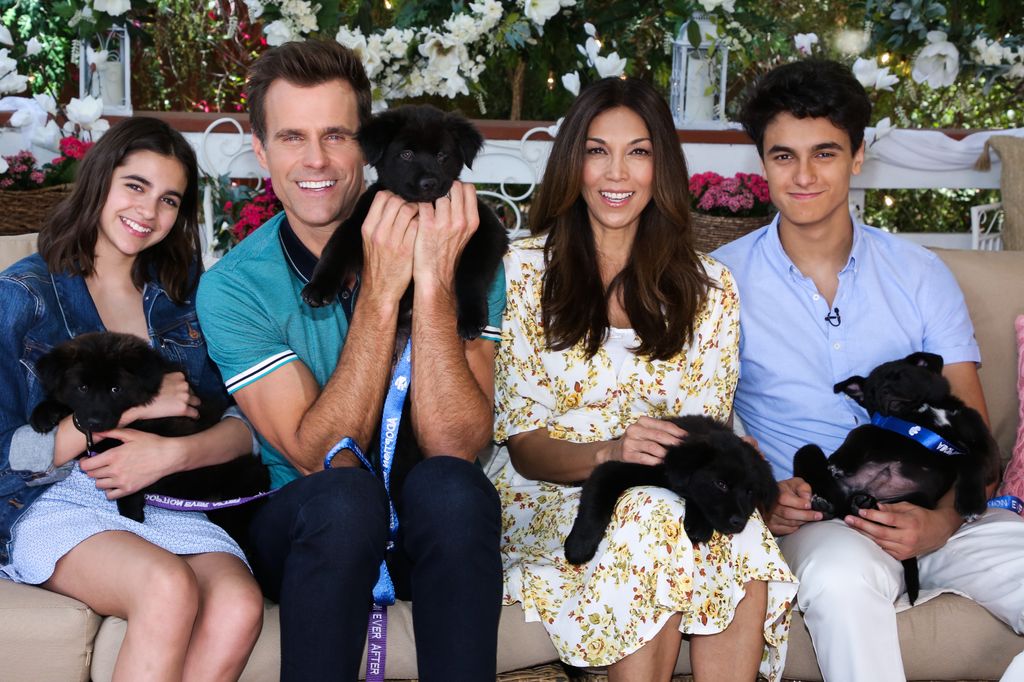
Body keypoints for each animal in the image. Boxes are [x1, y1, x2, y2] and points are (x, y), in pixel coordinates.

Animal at [30, 329, 272, 524]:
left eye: (116, 389)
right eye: (82, 388)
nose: (94, 422)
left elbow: (128, 479)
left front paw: (131, 514)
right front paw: (44, 412)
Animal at [303, 104, 512, 342]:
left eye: (442, 155)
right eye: (406, 154)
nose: (429, 183)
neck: (419, 208)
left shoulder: (490, 231)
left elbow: (471, 272)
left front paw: (471, 317)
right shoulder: (358, 223)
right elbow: (335, 249)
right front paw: (318, 286)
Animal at [561, 413, 774, 561]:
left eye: (750, 492)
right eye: (720, 484)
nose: (739, 522)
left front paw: (699, 524)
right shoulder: (612, 468)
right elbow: (595, 504)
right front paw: (580, 546)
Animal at [790, 350, 999, 602]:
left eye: (900, 375)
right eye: (871, 391)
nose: (884, 391)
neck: (920, 414)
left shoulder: (984, 447)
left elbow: (973, 460)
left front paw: (970, 503)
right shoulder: (885, 428)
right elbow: (863, 430)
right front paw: (841, 460)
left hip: (917, 499)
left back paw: (862, 503)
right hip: (809, 453)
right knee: (832, 497)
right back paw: (826, 504)